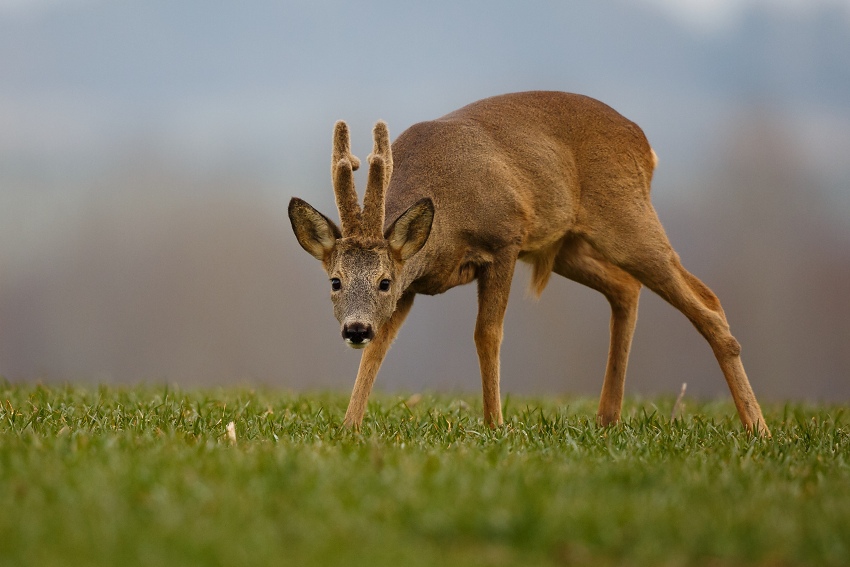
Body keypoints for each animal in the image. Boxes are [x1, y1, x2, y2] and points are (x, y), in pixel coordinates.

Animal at [288, 91, 769, 435]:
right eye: (335, 281)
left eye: (384, 281)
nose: (354, 329)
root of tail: (645, 144)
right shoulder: (414, 282)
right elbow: (380, 349)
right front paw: (349, 427)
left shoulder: (504, 239)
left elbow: (487, 334)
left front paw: (495, 425)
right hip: (568, 245)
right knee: (627, 287)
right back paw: (607, 419)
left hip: (626, 217)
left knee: (704, 301)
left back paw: (758, 428)